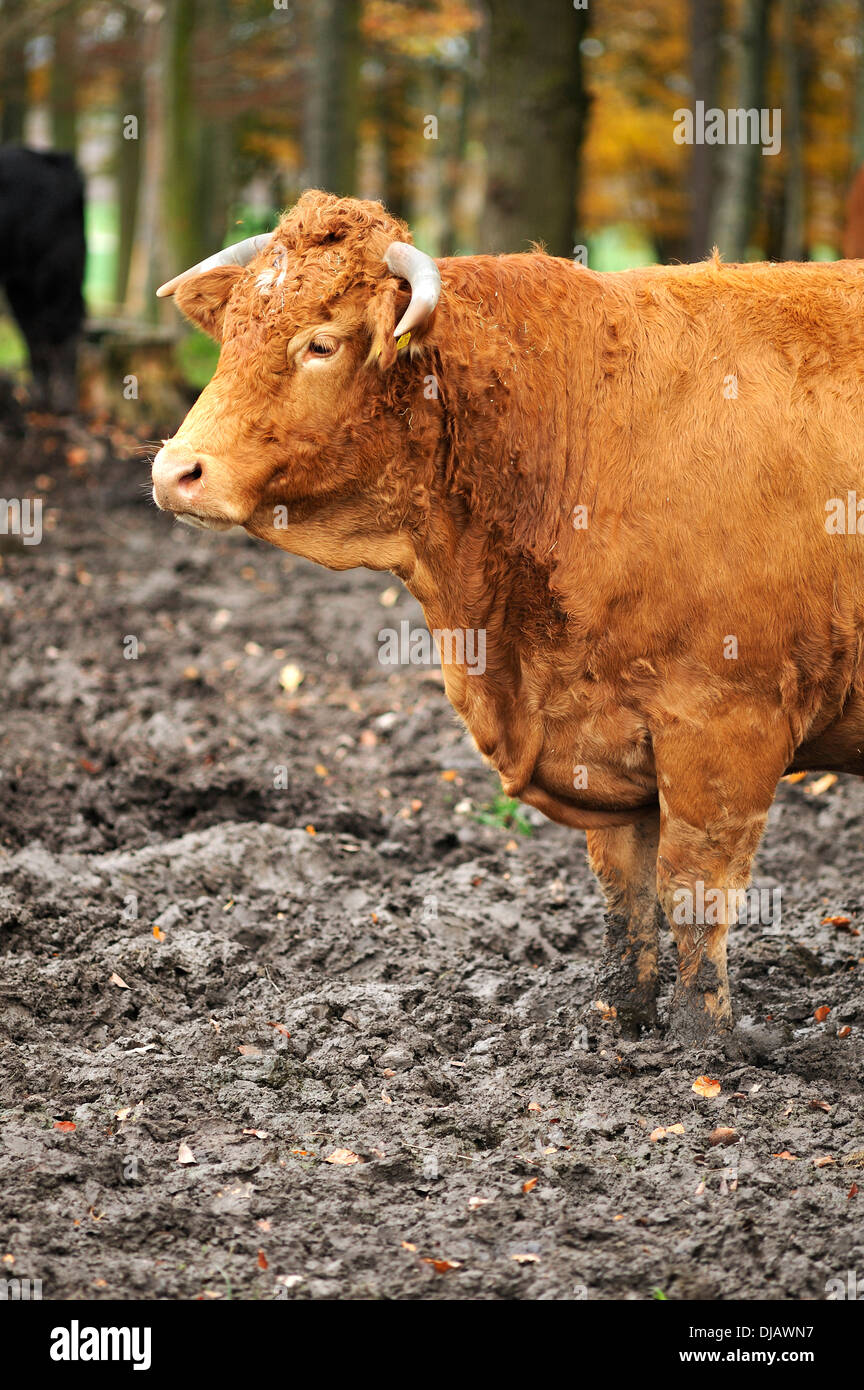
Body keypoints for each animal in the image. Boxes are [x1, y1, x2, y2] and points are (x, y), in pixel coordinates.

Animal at [0, 147, 85, 414]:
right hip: (21, 283)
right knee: (34, 330)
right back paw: (38, 400)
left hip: (52, 270)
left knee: (64, 324)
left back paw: (60, 403)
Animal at [152, 189, 864, 1046]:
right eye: (230, 335)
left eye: (320, 343)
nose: (175, 471)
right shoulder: (604, 734)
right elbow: (624, 894)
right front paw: (621, 1021)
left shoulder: (725, 722)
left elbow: (694, 893)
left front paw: (701, 1045)